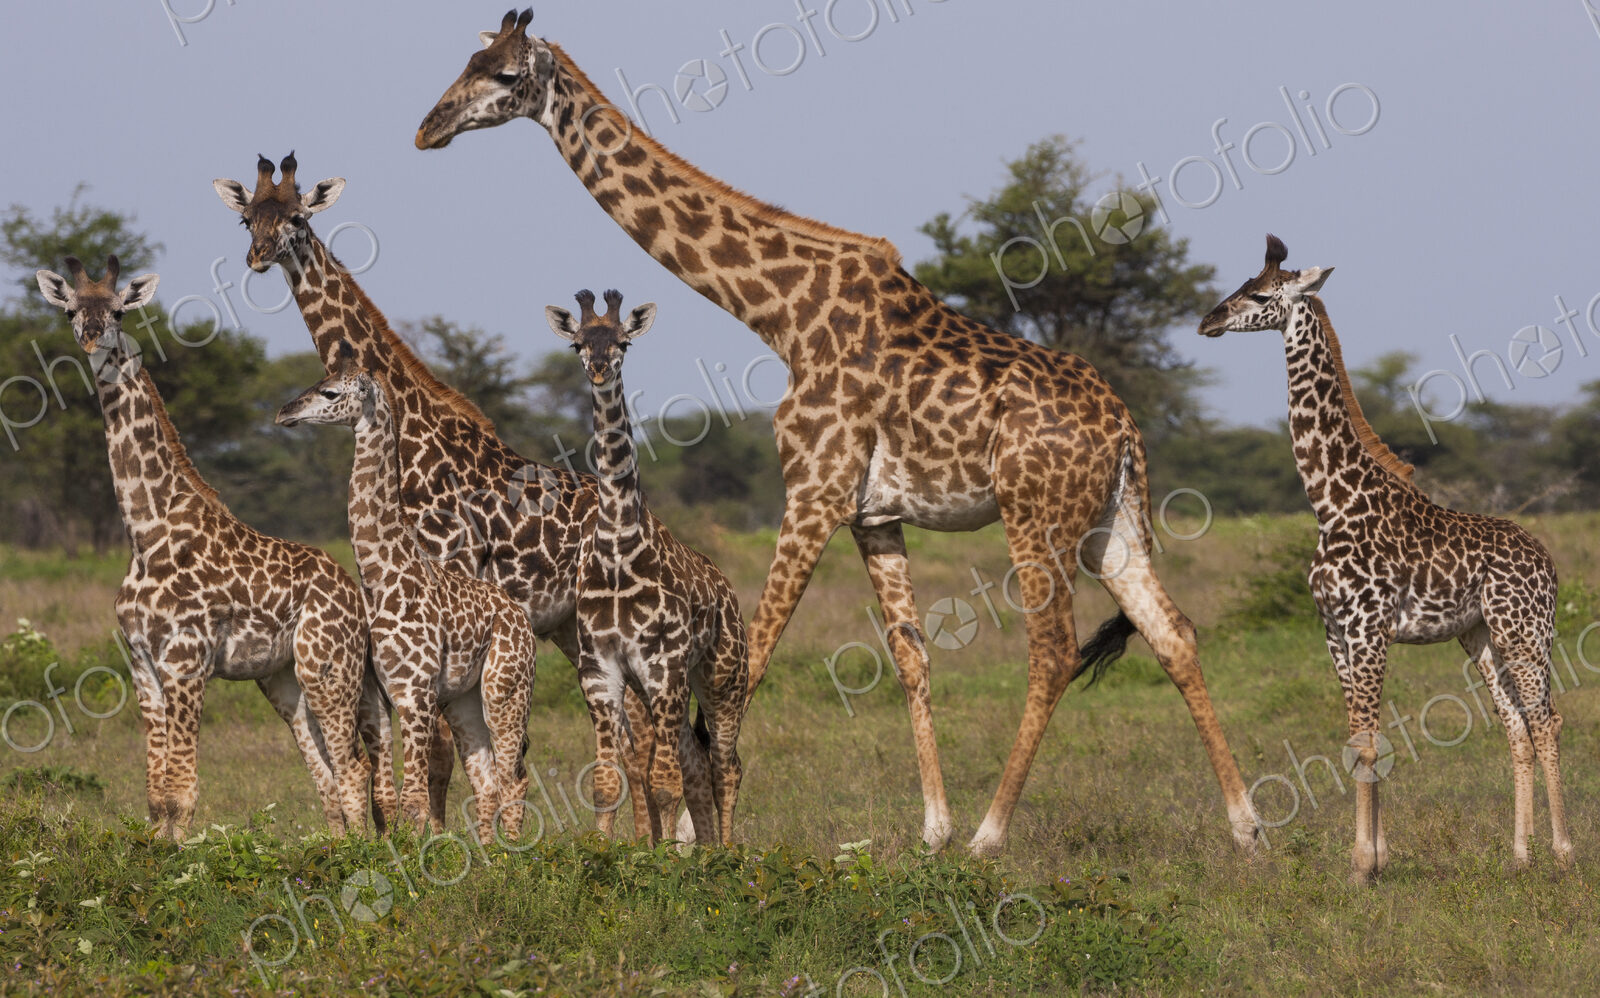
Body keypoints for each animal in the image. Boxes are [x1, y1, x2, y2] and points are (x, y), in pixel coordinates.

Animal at [34, 256, 393, 841]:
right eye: (71, 310)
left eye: (117, 310)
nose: (91, 338)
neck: (146, 531)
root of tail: (354, 594)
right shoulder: (143, 665)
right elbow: (157, 795)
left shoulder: (186, 661)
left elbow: (182, 792)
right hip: (282, 678)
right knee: (324, 768)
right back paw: (338, 848)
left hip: (328, 666)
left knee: (354, 764)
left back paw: (361, 854)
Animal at [278, 348, 536, 843]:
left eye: (330, 392)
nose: (285, 412)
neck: (381, 576)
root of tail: (521, 618)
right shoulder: (375, 695)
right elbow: (387, 796)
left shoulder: (415, 692)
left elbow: (414, 800)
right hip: (463, 700)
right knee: (488, 781)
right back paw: (490, 855)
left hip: (506, 688)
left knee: (514, 775)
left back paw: (514, 855)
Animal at [546, 289, 747, 844]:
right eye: (577, 343)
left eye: (624, 343)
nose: (598, 368)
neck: (618, 544)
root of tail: (730, 593)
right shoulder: (601, 669)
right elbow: (607, 781)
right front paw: (606, 851)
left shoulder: (664, 665)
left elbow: (661, 782)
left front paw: (664, 859)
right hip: (668, 684)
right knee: (698, 761)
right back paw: (706, 849)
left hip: (721, 676)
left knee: (727, 765)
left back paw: (726, 851)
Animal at [1200, 235, 1572, 881]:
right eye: (1241, 285)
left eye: (1261, 295)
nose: (1208, 320)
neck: (1332, 502)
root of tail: (1547, 563)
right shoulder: (1333, 630)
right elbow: (1356, 742)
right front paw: (1375, 859)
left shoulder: (1370, 629)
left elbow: (1370, 742)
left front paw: (1361, 865)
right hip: (1480, 637)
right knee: (1517, 727)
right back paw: (1519, 857)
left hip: (1525, 630)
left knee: (1546, 720)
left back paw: (1563, 851)